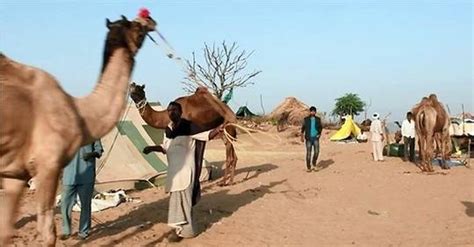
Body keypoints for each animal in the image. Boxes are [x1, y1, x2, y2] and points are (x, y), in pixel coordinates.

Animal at [0, 12, 156, 246]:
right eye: (137, 26)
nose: (151, 21)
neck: (79, 112)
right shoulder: (47, 165)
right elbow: (48, 232)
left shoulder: (15, 174)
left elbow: (5, 231)